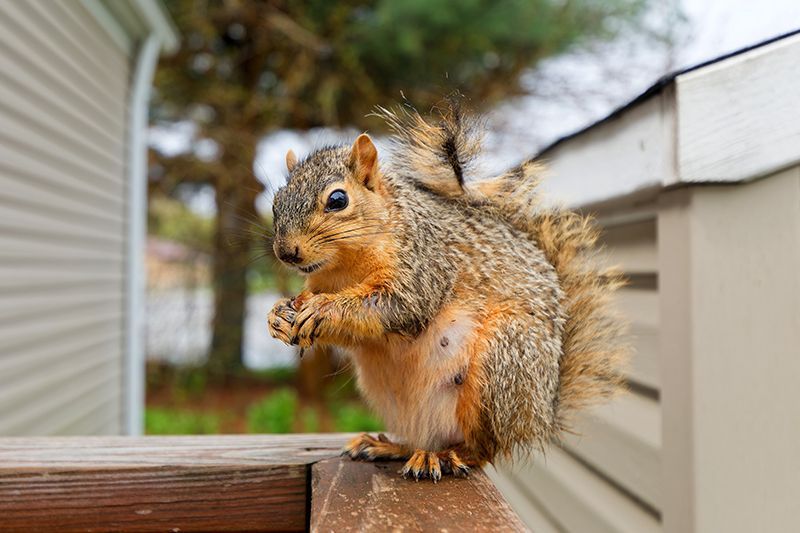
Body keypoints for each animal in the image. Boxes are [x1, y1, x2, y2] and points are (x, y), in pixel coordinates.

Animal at [267, 101, 628, 481]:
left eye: (338, 199)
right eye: (276, 202)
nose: (287, 252)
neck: (344, 269)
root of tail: (540, 415)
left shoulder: (424, 265)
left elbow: (397, 305)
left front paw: (322, 310)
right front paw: (278, 315)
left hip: (502, 362)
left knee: (483, 448)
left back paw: (446, 457)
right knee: (424, 438)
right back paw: (393, 447)